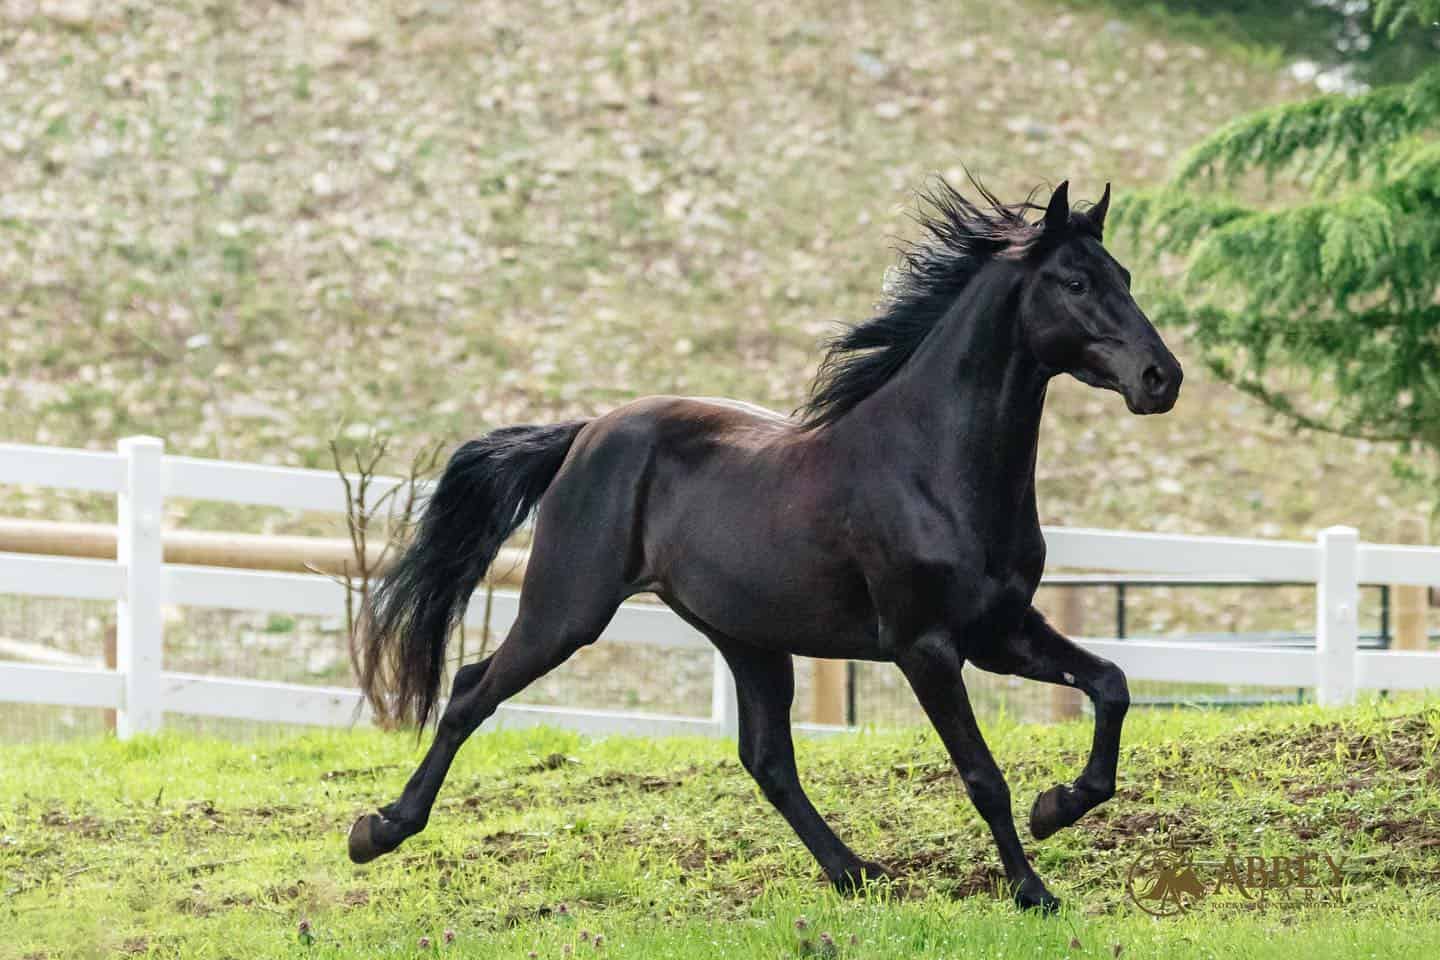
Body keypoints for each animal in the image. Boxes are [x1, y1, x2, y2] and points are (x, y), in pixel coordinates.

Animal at [345, 177, 1182, 912]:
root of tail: (585, 434)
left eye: (1124, 276)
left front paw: (1059, 806)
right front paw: (1034, 891)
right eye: (1075, 281)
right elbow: (982, 775)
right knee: (469, 691)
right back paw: (377, 831)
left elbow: (1111, 684)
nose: (1161, 378)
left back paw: (857, 874)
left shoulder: (1001, 632)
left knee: (768, 759)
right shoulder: (927, 648)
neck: (931, 466)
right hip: (566, 612)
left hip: (746, 636)